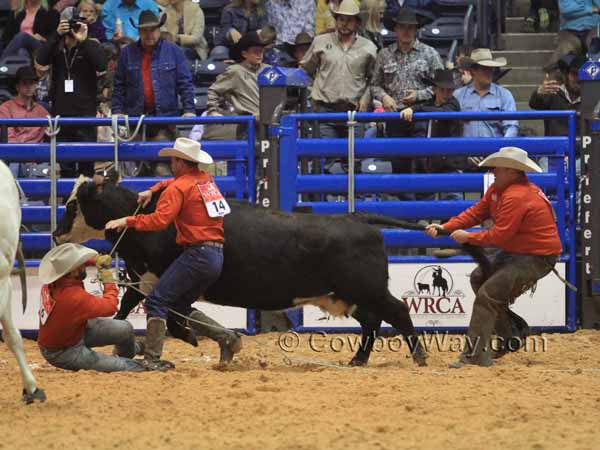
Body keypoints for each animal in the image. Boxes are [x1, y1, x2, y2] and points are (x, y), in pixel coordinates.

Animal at [55, 175, 446, 366]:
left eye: (72, 205)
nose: (56, 233)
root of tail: (358, 218)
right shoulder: (146, 279)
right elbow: (134, 308)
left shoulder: (168, 279)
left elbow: (176, 314)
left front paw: (191, 338)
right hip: (345, 295)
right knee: (371, 322)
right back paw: (358, 359)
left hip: (367, 289)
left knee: (397, 312)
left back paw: (419, 357)